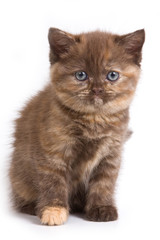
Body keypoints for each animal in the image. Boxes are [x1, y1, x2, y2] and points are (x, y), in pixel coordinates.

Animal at [9, 27, 145, 225]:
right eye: (81, 75)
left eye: (112, 75)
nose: (97, 89)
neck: (94, 120)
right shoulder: (53, 152)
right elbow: (53, 181)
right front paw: (53, 210)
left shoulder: (111, 154)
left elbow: (104, 182)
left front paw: (101, 207)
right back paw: (32, 207)